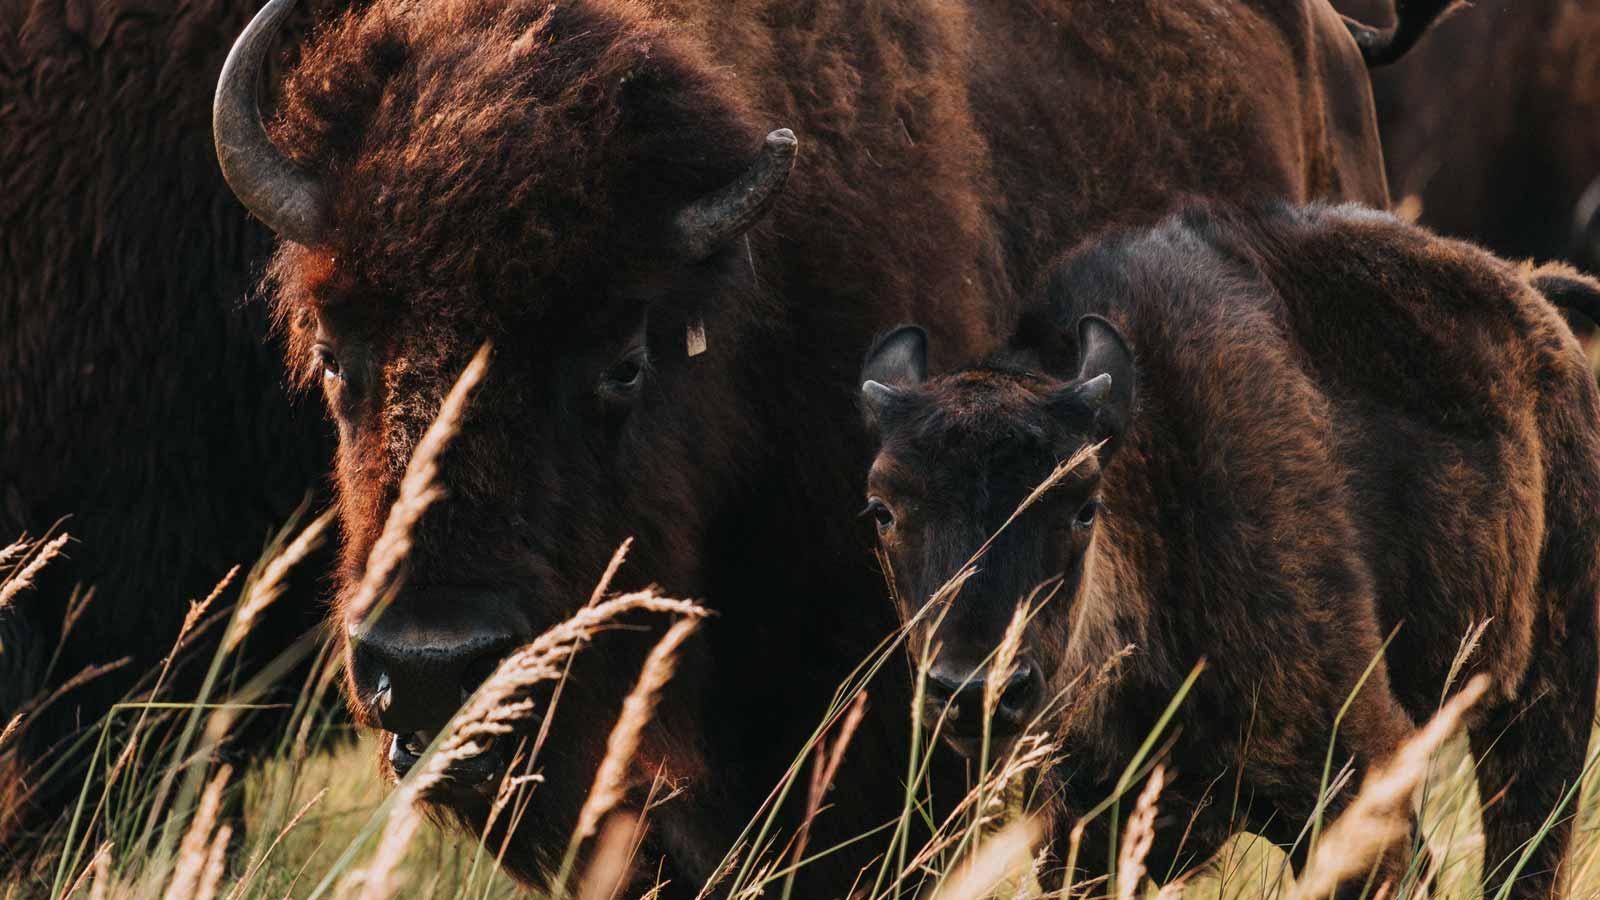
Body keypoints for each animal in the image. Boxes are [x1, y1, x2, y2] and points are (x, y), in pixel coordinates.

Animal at [857, 199, 1600, 890]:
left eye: (1083, 507)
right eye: (882, 510)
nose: (974, 689)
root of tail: (1537, 302)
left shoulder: (1356, 793)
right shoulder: (1081, 836)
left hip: (1543, 709)